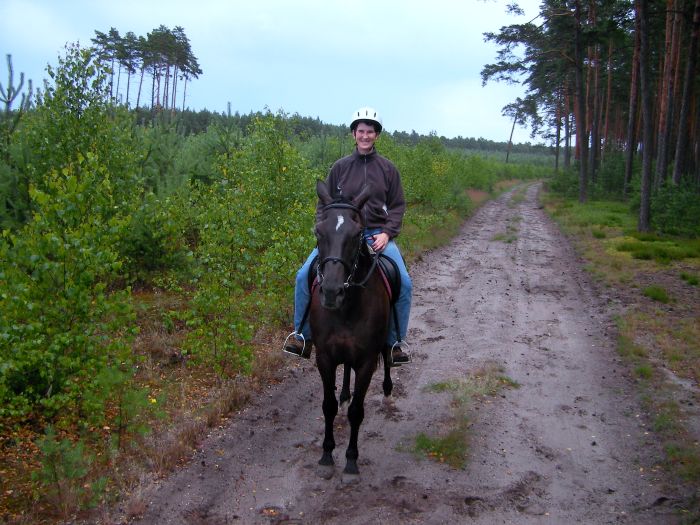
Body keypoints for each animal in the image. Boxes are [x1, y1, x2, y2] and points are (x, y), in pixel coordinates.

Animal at [312, 179, 394, 474]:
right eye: (318, 230)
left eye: (358, 233)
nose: (331, 292)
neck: (346, 309)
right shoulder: (324, 357)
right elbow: (328, 406)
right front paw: (326, 454)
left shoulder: (367, 361)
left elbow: (357, 412)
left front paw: (350, 459)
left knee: (388, 356)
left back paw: (388, 392)